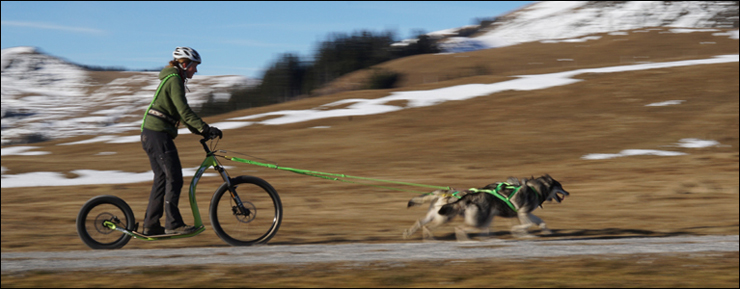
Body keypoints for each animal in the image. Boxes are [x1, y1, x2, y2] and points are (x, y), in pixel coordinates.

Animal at [402, 174, 568, 240]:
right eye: (560, 186)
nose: (569, 192)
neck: (535, 188)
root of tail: (444, 192)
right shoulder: (522, 213)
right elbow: (526, 225)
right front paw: (522, 233)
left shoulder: (524, 214)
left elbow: (540, 222)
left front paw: (546, 231)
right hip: (445, 218)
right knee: (428, 227)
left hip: (437, 216)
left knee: (420, 223)